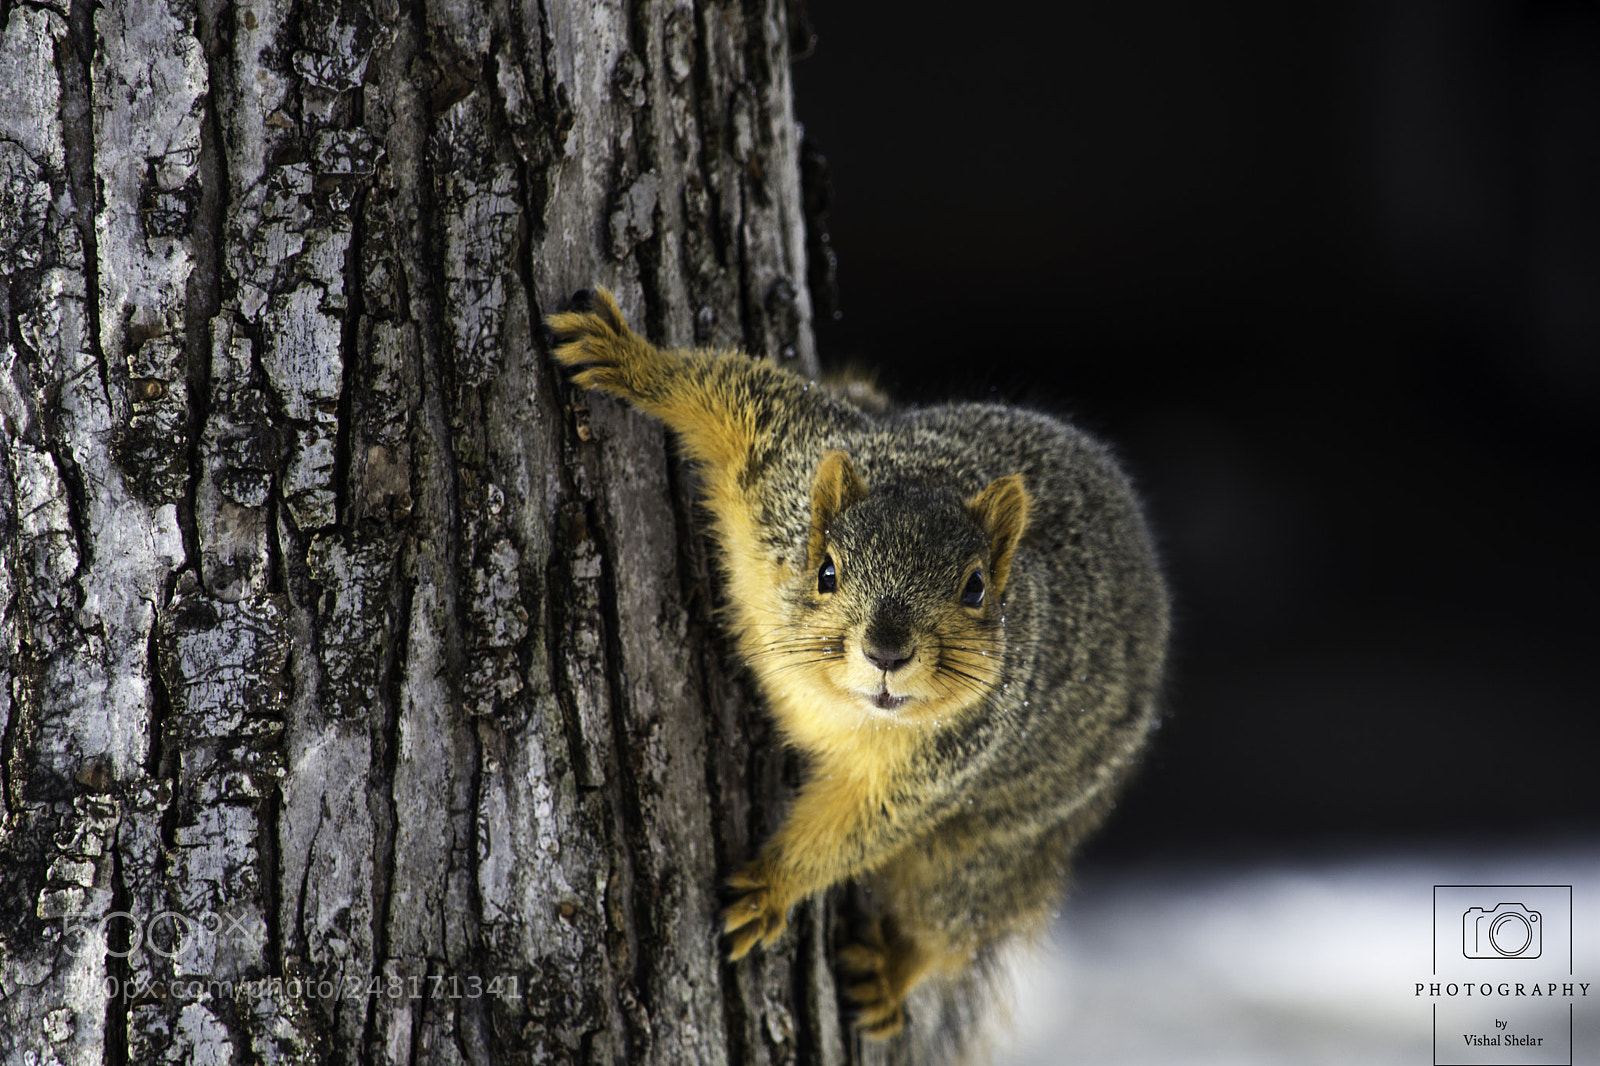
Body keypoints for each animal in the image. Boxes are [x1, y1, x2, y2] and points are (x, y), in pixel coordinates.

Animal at [547, 288, 1170, 1041]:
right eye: (826, 571)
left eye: (976, 589)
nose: (886, 652)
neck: (835, 698)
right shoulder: (783, 463)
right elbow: (730, 393)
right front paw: (628, 356)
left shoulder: (938, 765)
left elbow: (854, 828)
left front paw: (772, 887)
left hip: (990, 848)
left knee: (952, 922)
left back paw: (892, 972)